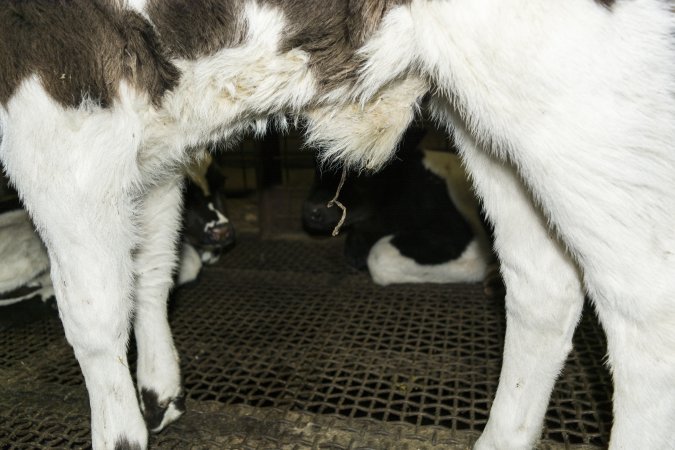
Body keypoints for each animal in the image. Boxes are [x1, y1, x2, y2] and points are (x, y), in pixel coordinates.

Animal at [1, 0, 675, 450]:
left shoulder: (58, 114)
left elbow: (92, 318)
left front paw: (120, 430)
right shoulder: (157, 152)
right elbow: (151, 268)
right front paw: (158, 394)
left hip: (582, 108)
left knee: (646, 311)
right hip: (490, 116)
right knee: (542, 283)